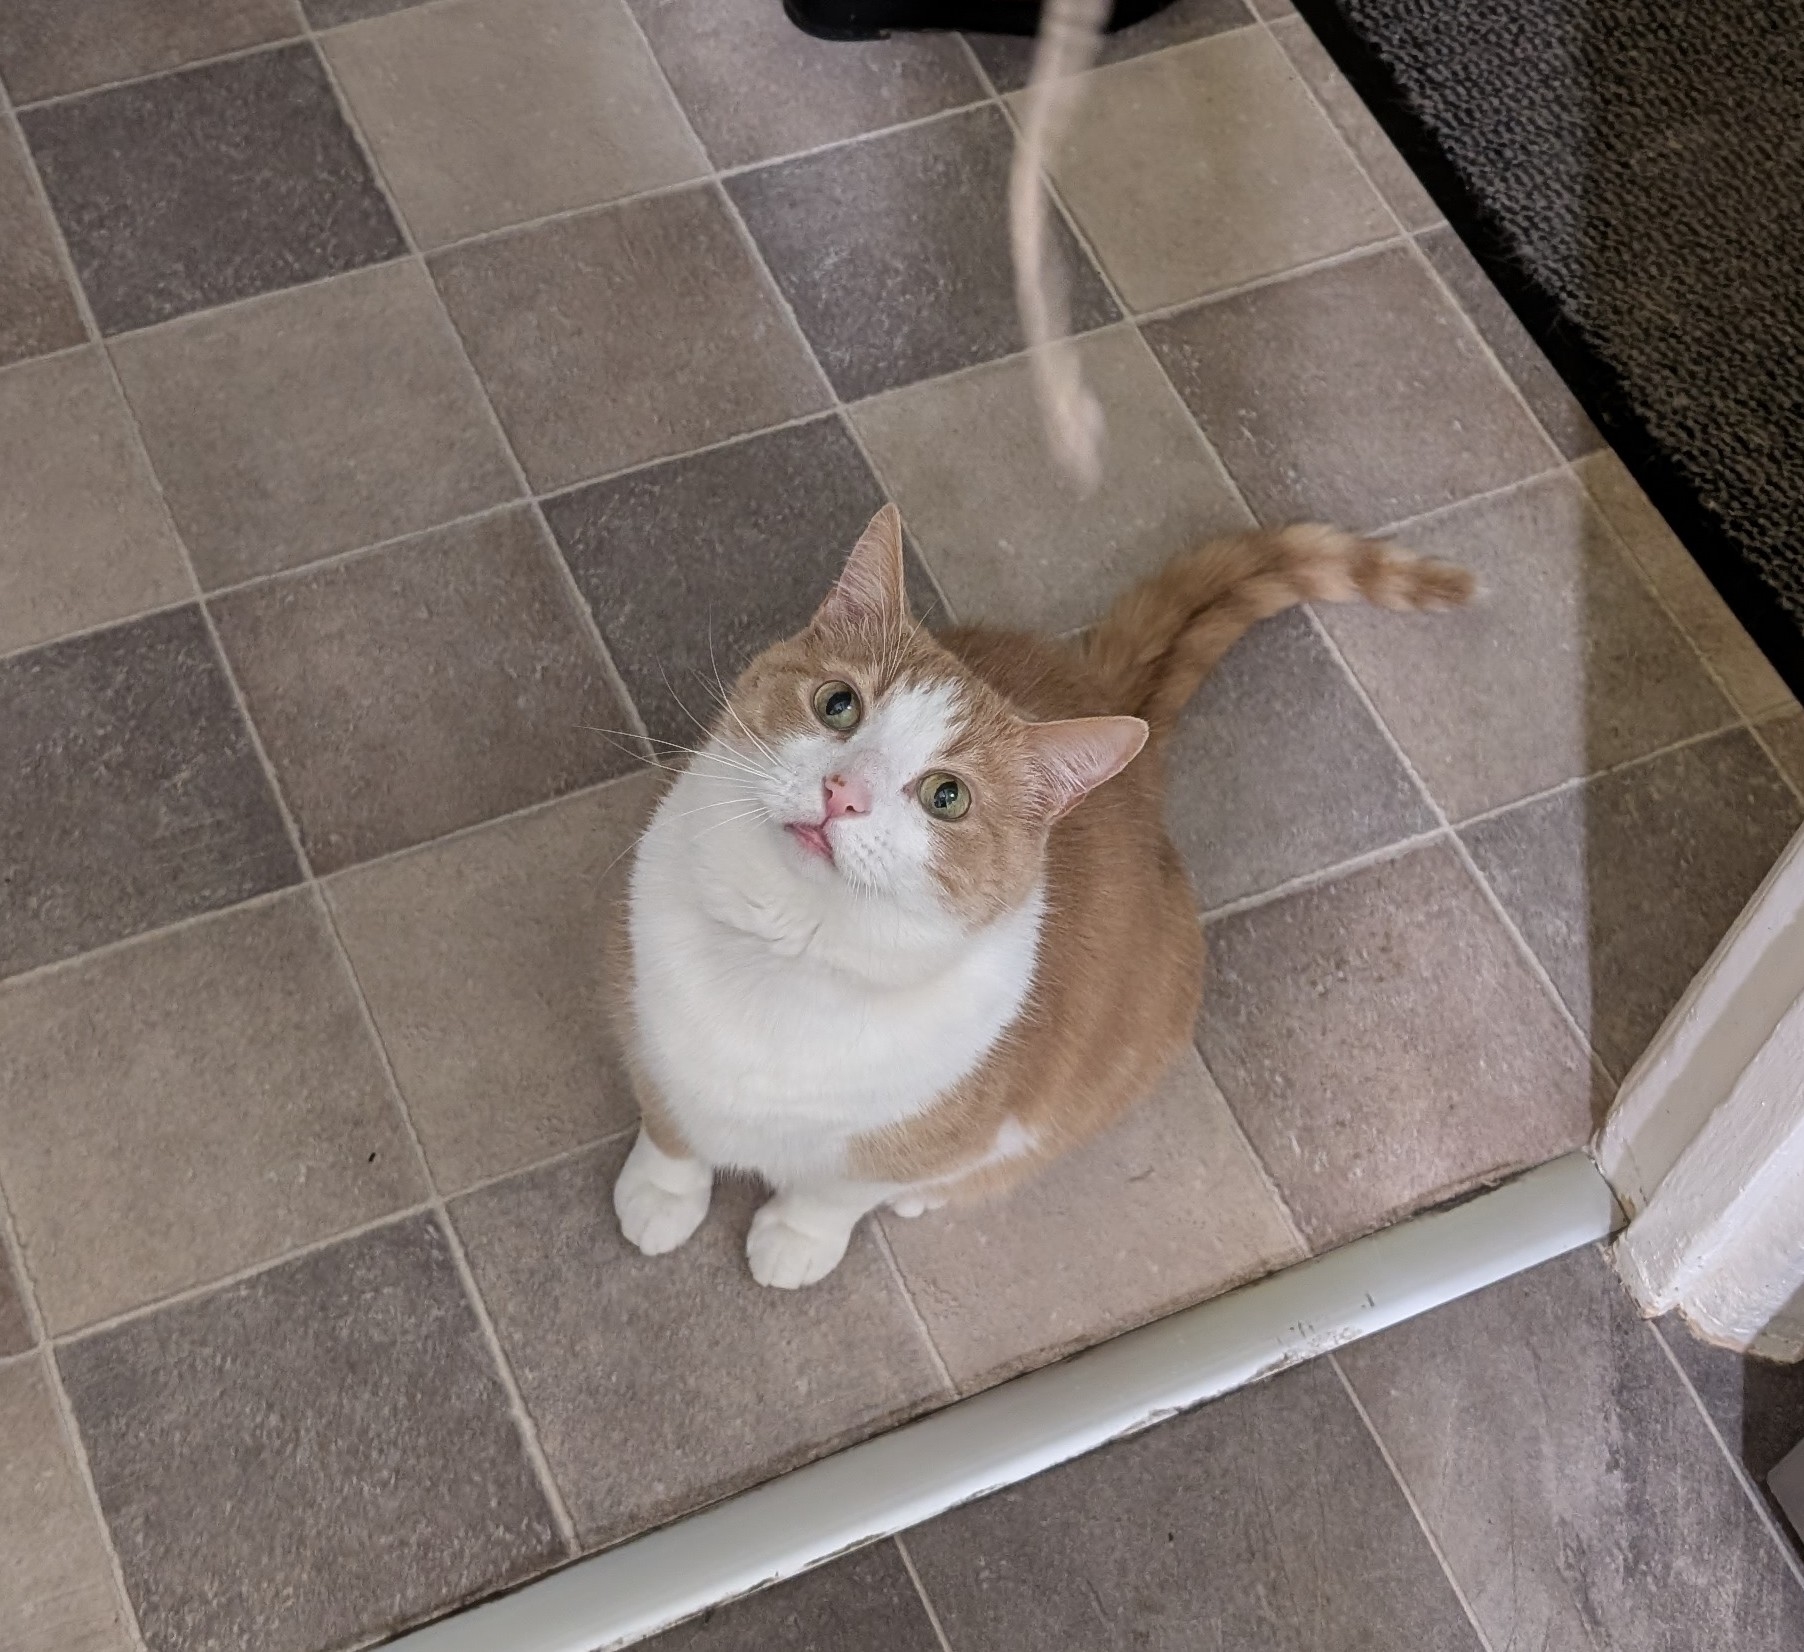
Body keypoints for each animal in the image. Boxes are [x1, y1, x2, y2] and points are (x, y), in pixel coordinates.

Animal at [612, 505, 1472, 1288]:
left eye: (947, 797)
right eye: (837, 704)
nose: (842, 793)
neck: (788, 950)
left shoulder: (917, 1134)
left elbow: (836, 1192)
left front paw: (797, 1237)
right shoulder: (651, 1032)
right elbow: (670, 1127)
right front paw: (663, 1193)